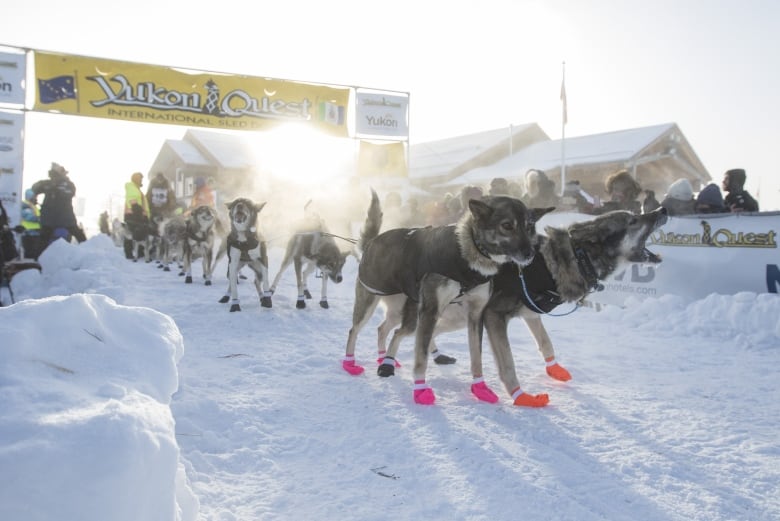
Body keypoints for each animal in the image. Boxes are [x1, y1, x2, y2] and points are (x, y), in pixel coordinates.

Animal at [342, 189, 548, 404]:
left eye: (529, 226)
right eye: (507, 225)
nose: (530, 253)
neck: (468, 254)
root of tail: (371, 243)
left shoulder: (475, 315)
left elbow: (476, 356)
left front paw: (480, 388)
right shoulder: (431, 310)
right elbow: (421, 358)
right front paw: (420, 390)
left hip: (403, 312)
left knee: (385, 329)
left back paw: (385, 361)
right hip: (373, 303)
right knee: (355, 330)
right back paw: (351, 363)